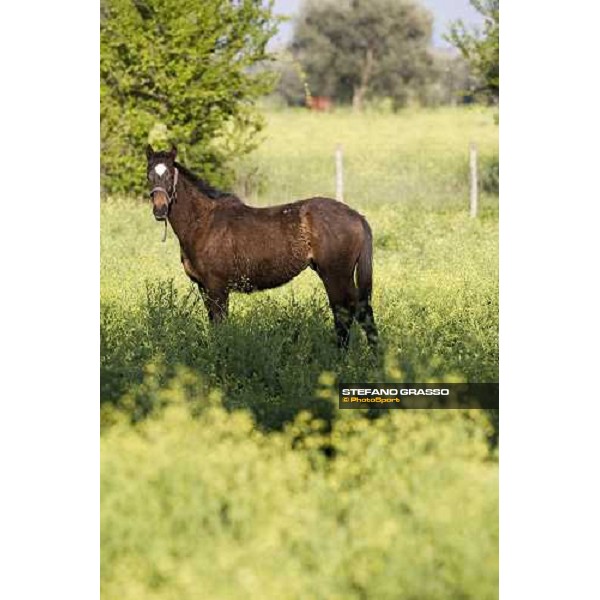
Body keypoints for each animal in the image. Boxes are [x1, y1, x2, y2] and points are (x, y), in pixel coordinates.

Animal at [145, 145, 378, 346]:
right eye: (149, 176)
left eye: (169, 175)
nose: (160, 210)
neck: (204, 222)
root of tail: (357, 216)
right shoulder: (204, 287)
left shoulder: (217, 287)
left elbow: (220, 325)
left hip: (336, 275)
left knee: (347, 314)